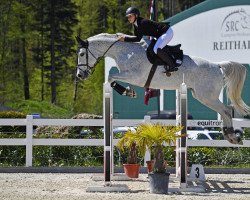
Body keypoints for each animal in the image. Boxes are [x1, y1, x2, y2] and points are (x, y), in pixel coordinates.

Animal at [76, 33, 250, 145]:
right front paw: (129, 92)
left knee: (226, 110)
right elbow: (112, 79)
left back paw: (232, 136)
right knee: (225, 111)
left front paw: (127, 92)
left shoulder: (134, 76)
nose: (80, 74)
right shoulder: (129, 76)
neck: (126, 51)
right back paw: (230, 135)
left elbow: (111, 77)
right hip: (201, 95)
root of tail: (218, 66)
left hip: (206, 96)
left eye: (82, 53)